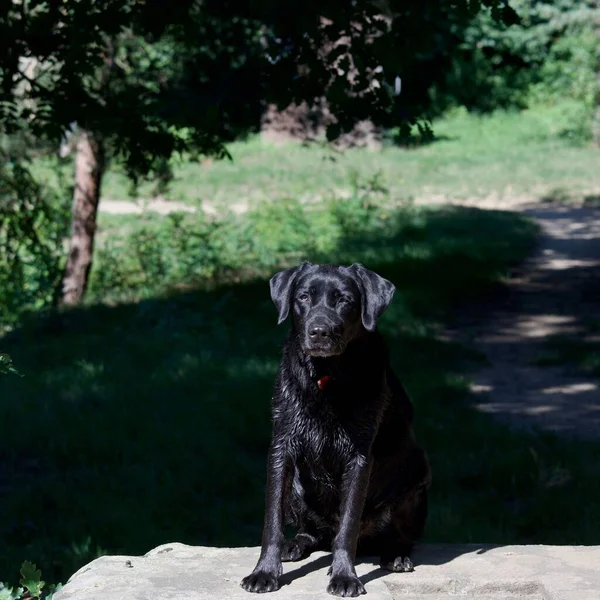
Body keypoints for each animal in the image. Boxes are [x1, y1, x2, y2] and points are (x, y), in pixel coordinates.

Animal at [241, 264, 428, 596]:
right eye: (303, 297)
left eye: (345, 300)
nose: (319, 331)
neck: (327, 376)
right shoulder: (281, 448)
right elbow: (272, 521)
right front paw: (264, 571)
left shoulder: (359, 456)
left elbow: (348, 524)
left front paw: (344, 576)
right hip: (299, 488)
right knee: (313, 533)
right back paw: (295, 544)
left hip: (417, 473)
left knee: (397, 535)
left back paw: (395, 555)